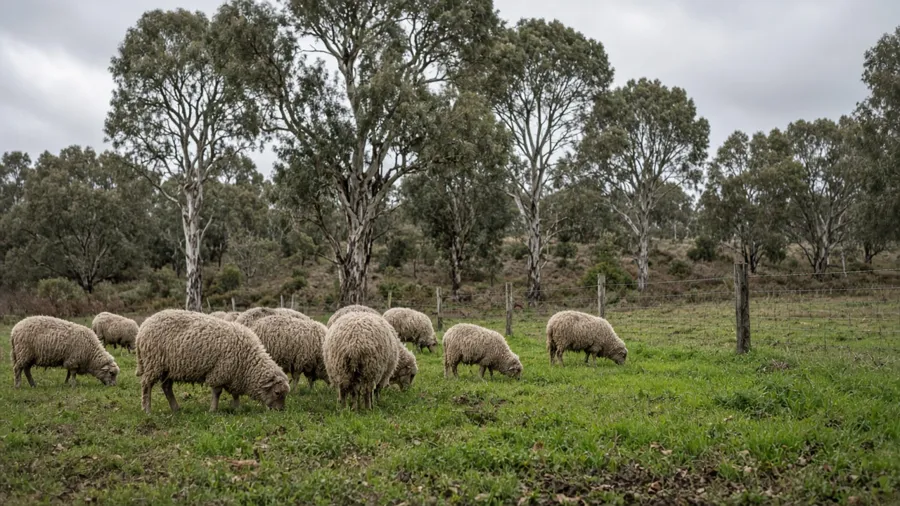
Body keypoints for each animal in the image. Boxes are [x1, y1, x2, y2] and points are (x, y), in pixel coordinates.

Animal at [135, 309, 290, 413]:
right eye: (277, 393)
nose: (281, 410)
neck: (248, 362)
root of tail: (143, 326)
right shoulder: (220, 372)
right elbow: (217, 392)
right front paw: (213, 410)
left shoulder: (234, 374)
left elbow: (235, 393)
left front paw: (237, 408)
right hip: (153, 363)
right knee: (146, 385)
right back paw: (147, 409)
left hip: (168, 368)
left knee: (166, 387)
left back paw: (176, 408)